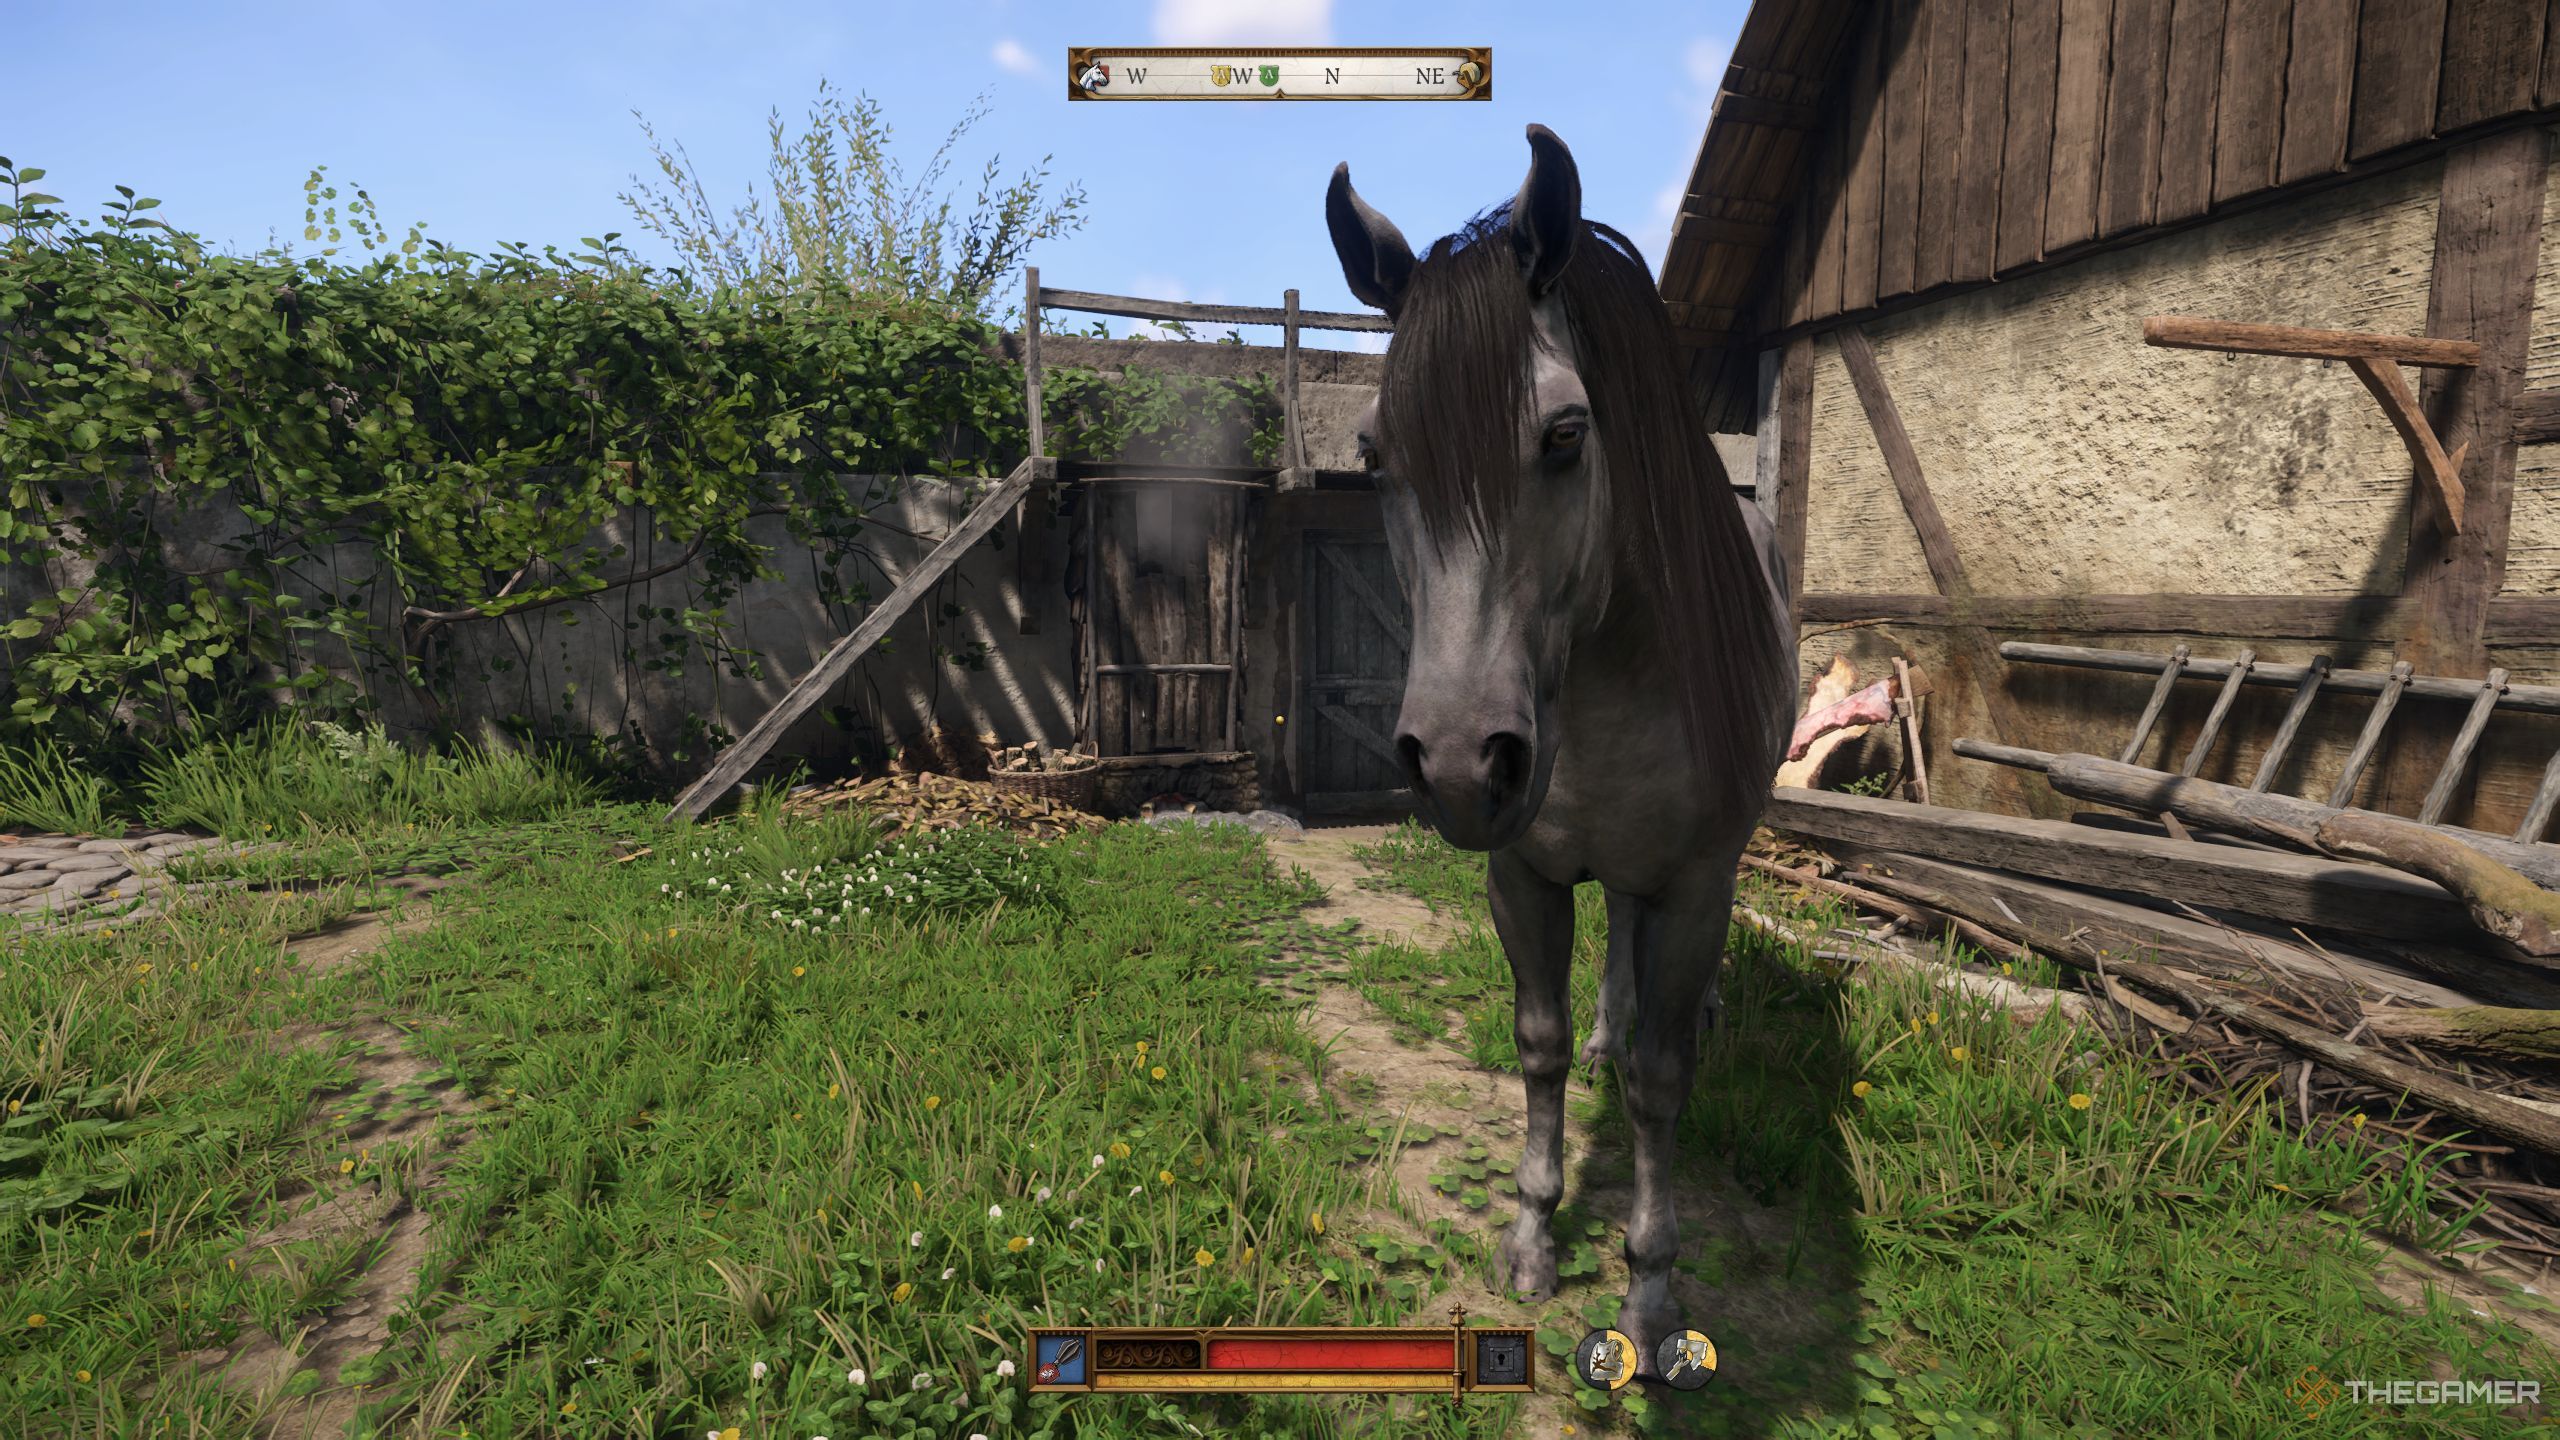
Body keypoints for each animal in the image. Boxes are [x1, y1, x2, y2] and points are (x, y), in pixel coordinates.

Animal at [1320, 122, 1802, 1363]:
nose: (1457, 764)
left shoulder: (1691, 887)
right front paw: (1533, 1238)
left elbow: (1662, 1087)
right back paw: (1602, 1036)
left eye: (1567, 434)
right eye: (1375, 452)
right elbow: (1532, 1044)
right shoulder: (1522, 874)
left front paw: (1651, 1296)